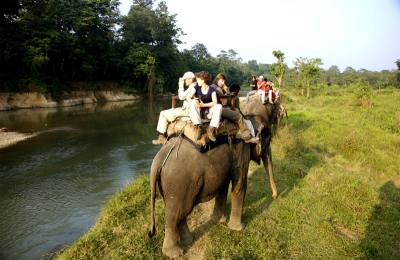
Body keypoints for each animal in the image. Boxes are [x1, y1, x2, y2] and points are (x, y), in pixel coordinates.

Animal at [148, 95, 276, 258]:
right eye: (269, 138)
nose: (274, 196)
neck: (249, 118)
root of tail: (158, 160)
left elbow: (222, 186)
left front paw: (219, 221)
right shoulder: (242, 150)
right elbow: (239, 184)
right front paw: (238, 228)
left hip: (172, 187)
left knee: (180, 212)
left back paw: (188, 240)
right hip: (178, 184)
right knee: (175, 215)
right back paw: (175, 253)